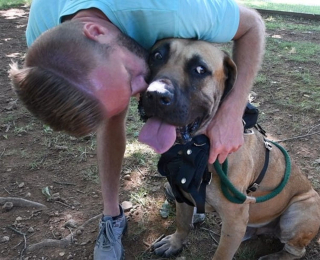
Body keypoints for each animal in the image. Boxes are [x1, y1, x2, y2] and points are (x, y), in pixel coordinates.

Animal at [139, 38, 320, 260]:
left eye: (199, 70)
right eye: (157, 56)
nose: (155, 95)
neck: (200, 150)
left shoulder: (234, 220)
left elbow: (221, 254)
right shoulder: (182, 191)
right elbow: (182, 222)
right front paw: (175, 242)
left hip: (299, 210)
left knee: (296, 250)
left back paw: (275, 257)